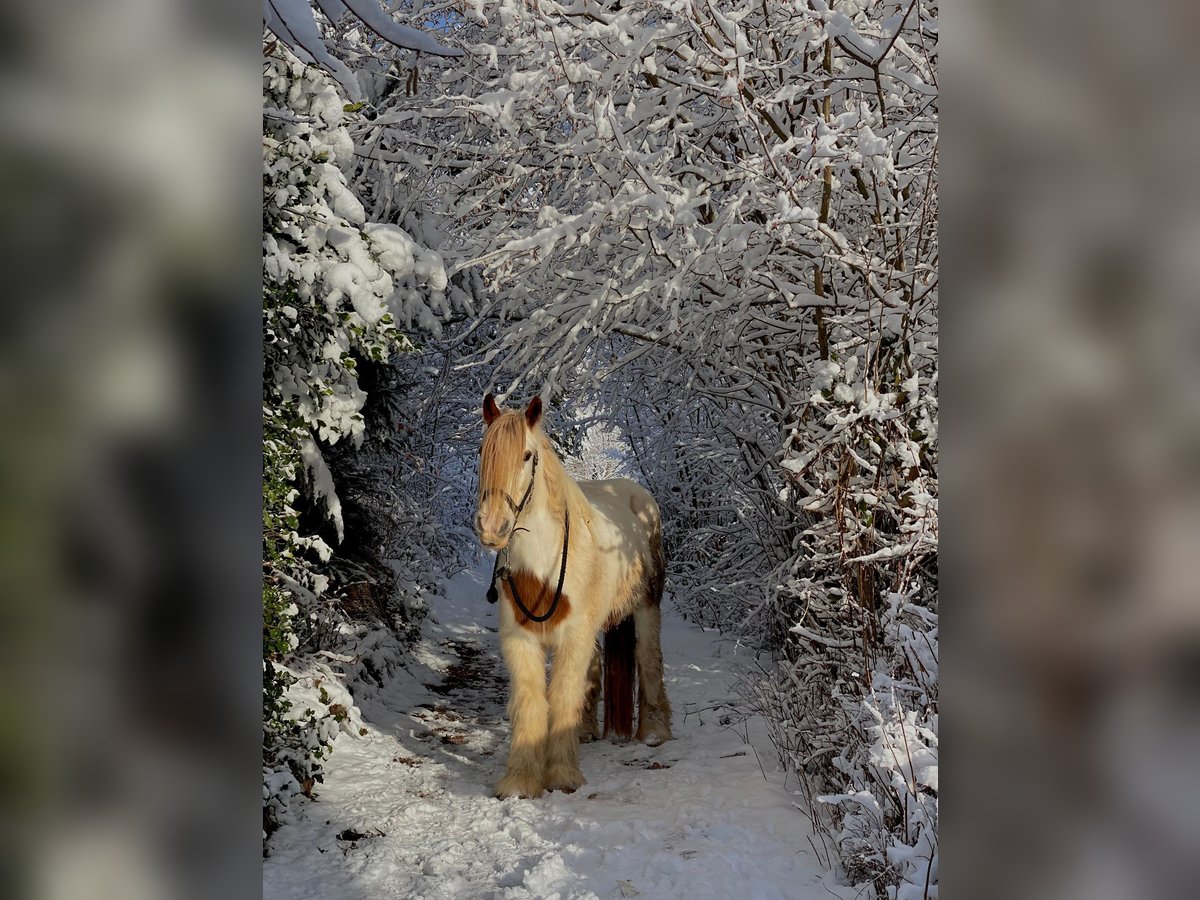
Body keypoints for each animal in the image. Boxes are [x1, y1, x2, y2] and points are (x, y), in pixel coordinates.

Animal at [474, 393, 672, 799]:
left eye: (527, 456)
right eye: (483, 451)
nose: (492, 527)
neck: (543, 569)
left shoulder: (573, 638)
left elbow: (562, 696)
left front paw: (563, 776)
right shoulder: (521, 641)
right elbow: (531, 702)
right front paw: (520, 781)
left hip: (647, 607)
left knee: (648, 658)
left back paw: (654, 731)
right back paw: (585, 731)